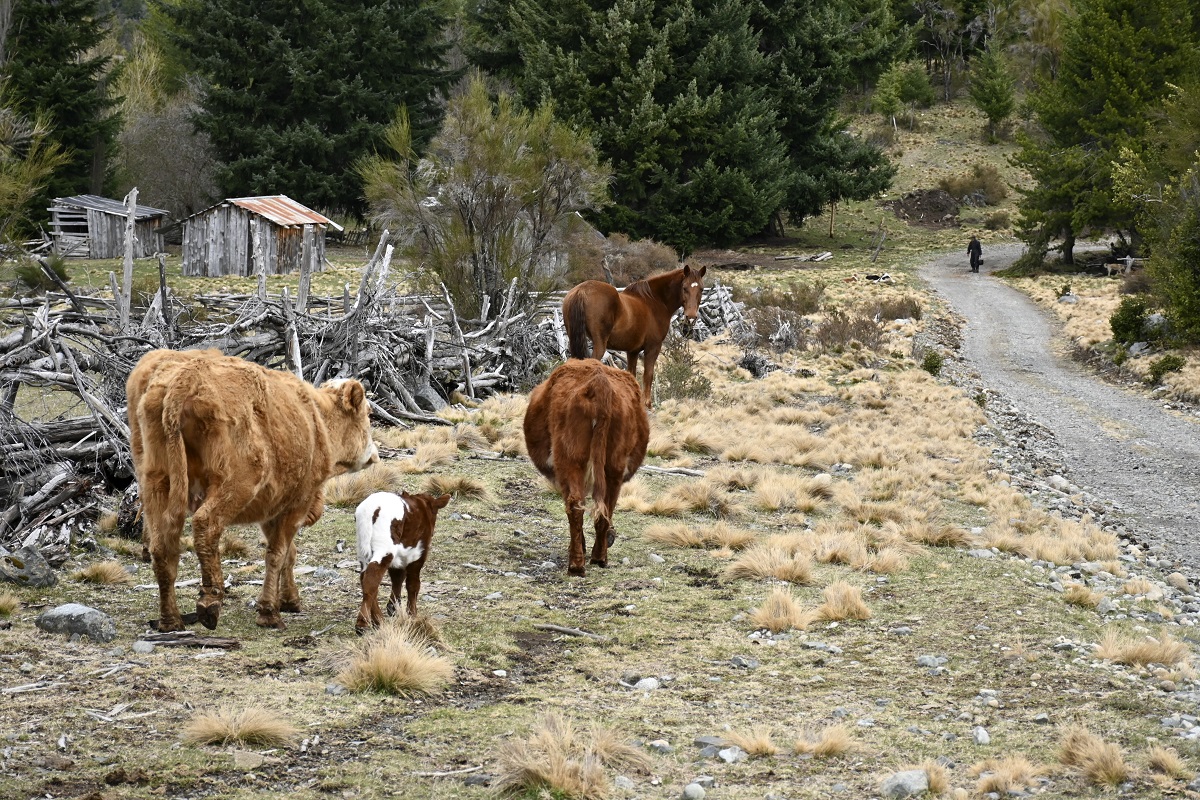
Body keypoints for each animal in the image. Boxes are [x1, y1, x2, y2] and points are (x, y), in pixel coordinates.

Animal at [127, 347, 379, 633]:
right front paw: (269, 612)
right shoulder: (297, 503)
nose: (374, 453)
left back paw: (170, 620)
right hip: (235, 485)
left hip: (156, 483)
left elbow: (288, 554)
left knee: (161, 546)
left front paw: (289, 601)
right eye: (368, 414)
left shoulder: (273, 509)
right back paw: (210, 602)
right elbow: (277, 554)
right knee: (205, 525)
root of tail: (186, 377)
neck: (317, 421)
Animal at [355, 491, 453, 633]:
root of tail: (373, 508)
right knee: (372, 578)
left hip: (363, 549)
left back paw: (379, 621)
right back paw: (363, 624)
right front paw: (412, 614)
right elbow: (413, 584)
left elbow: (397, 577)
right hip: (385, 548)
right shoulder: (418, 554)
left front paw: (393, 607)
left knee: (365, 578)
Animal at [518, 362, 643, 575]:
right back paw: (597, 558)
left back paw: (577, 564)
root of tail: (599, 383)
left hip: (569, 459)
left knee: (575, 503)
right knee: (604, 507)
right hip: (613, 465)